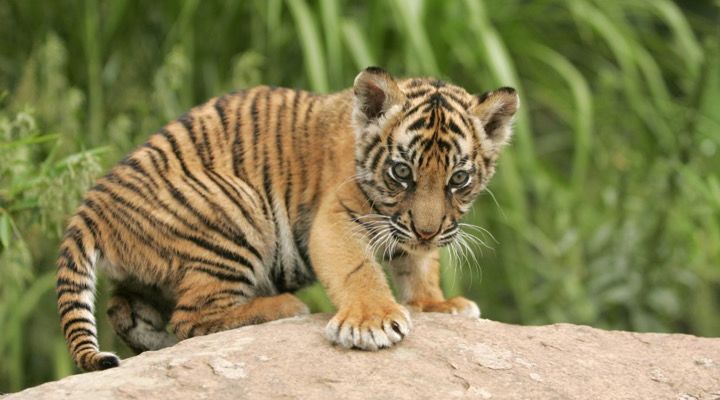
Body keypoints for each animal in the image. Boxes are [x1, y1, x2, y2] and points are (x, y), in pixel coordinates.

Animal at [56, 66, 518, 371]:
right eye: (402, 172)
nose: (427, 230)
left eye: (458, 179)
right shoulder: (336, 218)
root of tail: (89, 207)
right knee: (192, 317)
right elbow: (359, 269)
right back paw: (282, 306)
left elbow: (420, 264)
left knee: (126, 309)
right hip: (238, 211)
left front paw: (437, 303)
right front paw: (372, 322)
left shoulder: (410, 230)